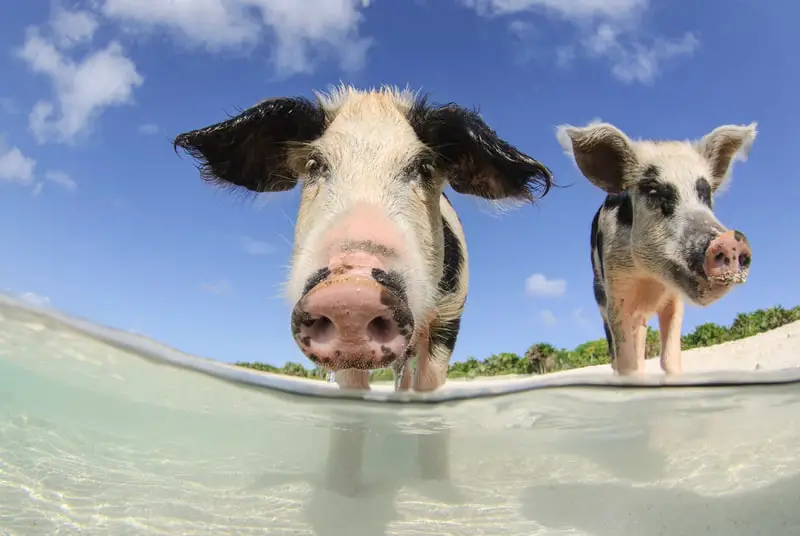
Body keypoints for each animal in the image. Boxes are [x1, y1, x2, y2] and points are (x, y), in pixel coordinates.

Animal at [556, 120, 756, 376]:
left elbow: (669, 358)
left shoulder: (675, 299)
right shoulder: (615, 293)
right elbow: (626, 363)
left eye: (706, 194)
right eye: (653, 192)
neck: (650, 279)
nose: (731, 240)